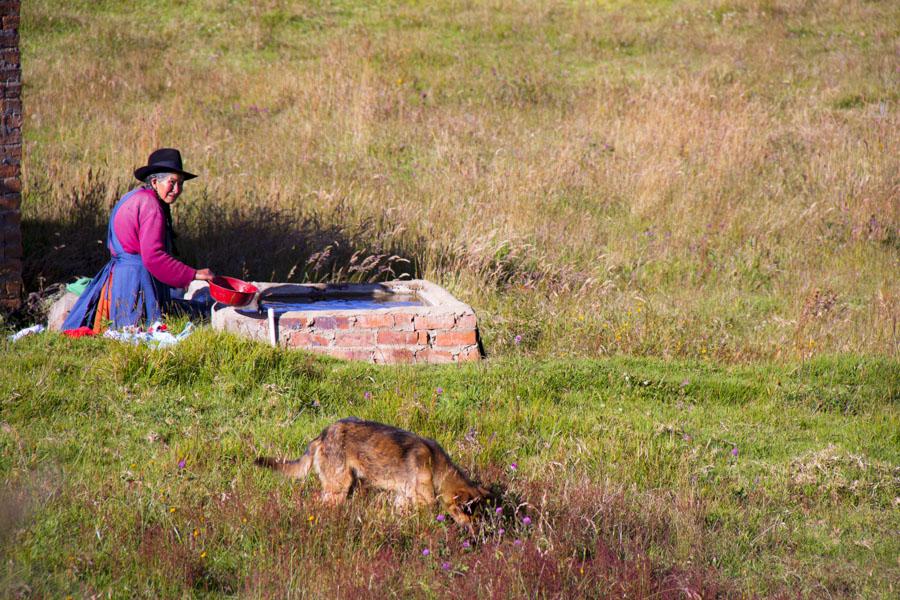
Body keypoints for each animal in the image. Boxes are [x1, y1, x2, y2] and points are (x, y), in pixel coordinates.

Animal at [253, 418, 492, 528]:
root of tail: (322, 435)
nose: (477, 538)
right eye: (469, 514)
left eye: (480, 515)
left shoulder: (402, 498)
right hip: (339, 487)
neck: (437, 468)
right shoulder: (422, 502)